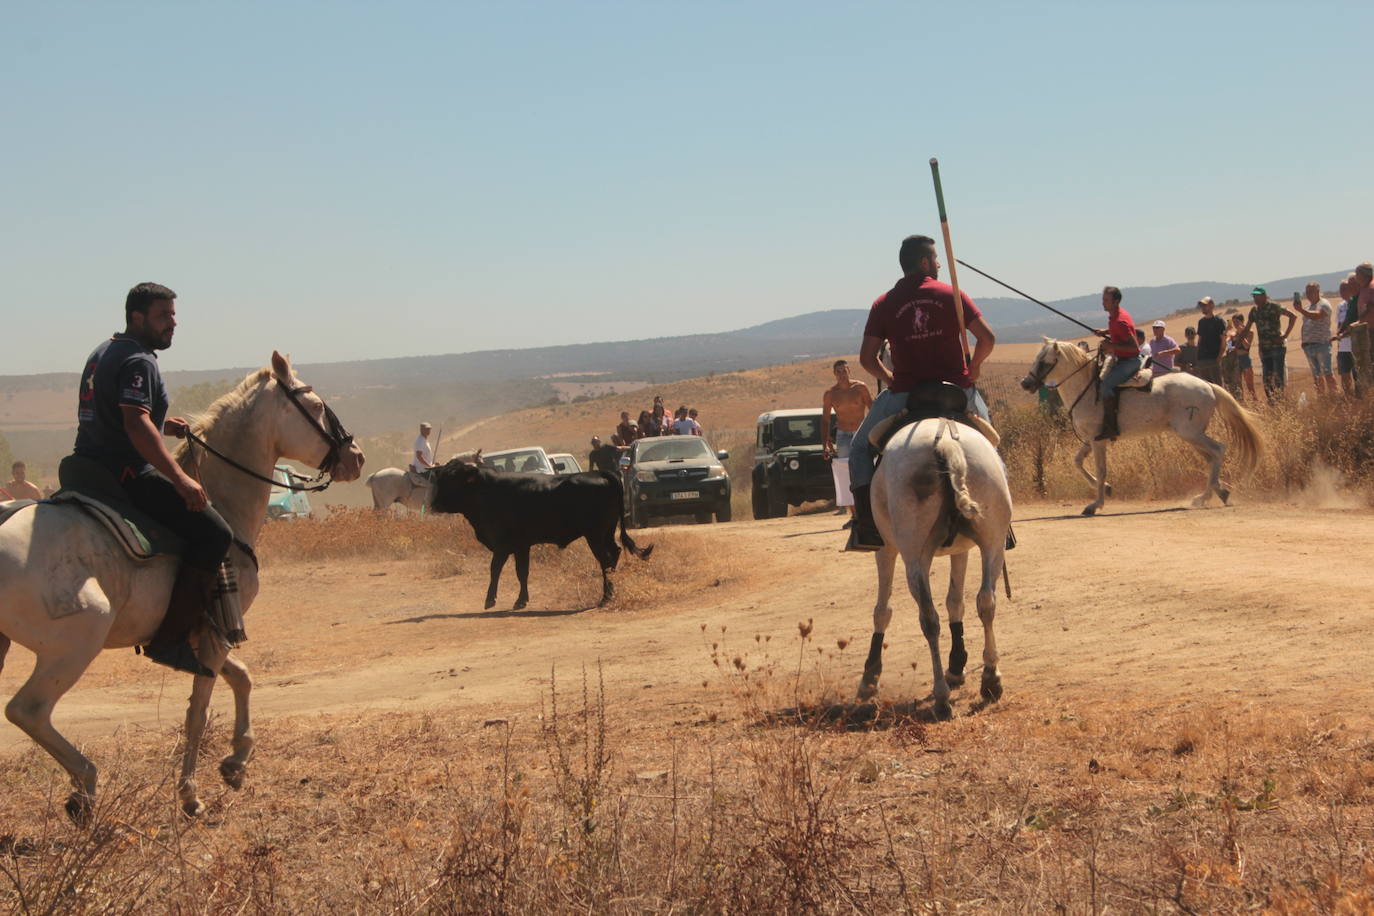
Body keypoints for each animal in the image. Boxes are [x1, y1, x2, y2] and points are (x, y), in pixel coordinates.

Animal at [0, 354, 365, 823]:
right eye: (317, 406)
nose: (356, 457)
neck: (222, 499)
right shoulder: (215, 633)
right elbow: (198, 712)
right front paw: (191, 794)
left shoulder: (197, 633)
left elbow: (242, 679)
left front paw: (236, 761)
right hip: (75, 643)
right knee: (28, 710)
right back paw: (85, 784)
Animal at [431, 466, 651, 609]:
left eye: (451, 480)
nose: (433, 504)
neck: (487, 492)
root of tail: (599, 473)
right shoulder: (521, 546)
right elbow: (522, 572)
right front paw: (521, 600)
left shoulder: (503, 544)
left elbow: (496, 569)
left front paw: (490, 600)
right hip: (606, 533)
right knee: (615, 553)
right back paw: (611, 590)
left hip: (594, 535)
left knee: (605, 560)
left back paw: (606, 597)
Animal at [851, 414, 1016, 725]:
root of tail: (947, 445)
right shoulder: (961, 549)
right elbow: (956, 601)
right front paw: (957, 665)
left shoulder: (885, 549)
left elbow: (882, 610)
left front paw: (869, 678)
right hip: (993, 542)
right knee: (986, 602)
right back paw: (991, 679)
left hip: (915, 557)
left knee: (929, 619)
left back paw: (941, 698)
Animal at [1016, 340, 1258, 519]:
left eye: (1044, 362)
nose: (1025, 384)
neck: (1088, 390)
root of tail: (1208, 385)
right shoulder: (1091, 440)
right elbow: (1077, 462)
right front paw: (1107, 488)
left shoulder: (1098, 441)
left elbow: (1101, 469)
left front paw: (1095, 504)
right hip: (1192, 435)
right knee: (1211, 458)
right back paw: (1220, 492)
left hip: (1190, 433)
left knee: (1218, 450)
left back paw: (1203, 497)